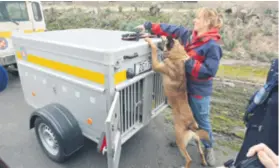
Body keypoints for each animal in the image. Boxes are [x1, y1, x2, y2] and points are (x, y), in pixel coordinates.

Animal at [145, 35, 211, 168]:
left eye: (163, 41)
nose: (158, 36)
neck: (178, 56)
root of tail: (192, 124)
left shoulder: (157, 65)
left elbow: (154, 51)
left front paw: (151, 43)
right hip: (195, 138)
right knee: (200, 150)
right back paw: (203, 161)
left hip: (180, 140)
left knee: (189, 159)